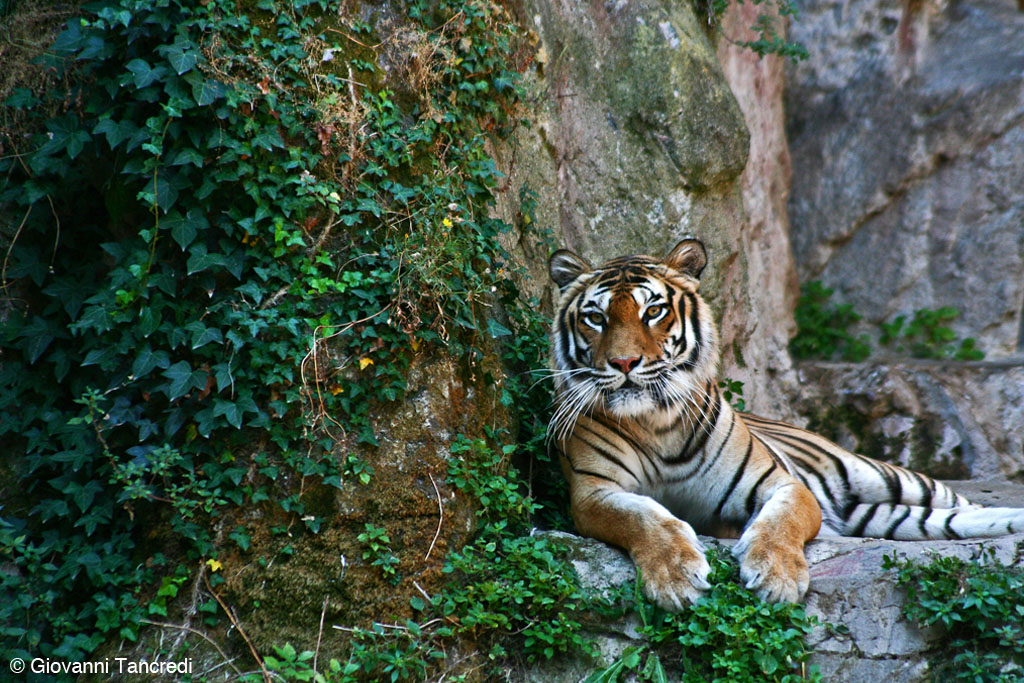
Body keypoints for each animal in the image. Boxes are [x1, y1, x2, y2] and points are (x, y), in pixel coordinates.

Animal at [547, 238, 1024, 609]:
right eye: (596, 318)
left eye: (653, 311)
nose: (624, 362)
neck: (655, 421)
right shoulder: (594, 493)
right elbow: (643, 516)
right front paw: (677, 576)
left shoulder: (783, 484)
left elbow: (781, 521)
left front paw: (776, 576)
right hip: (883, 514)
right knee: (941, 522)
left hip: (887, 476)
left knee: (961, 505)